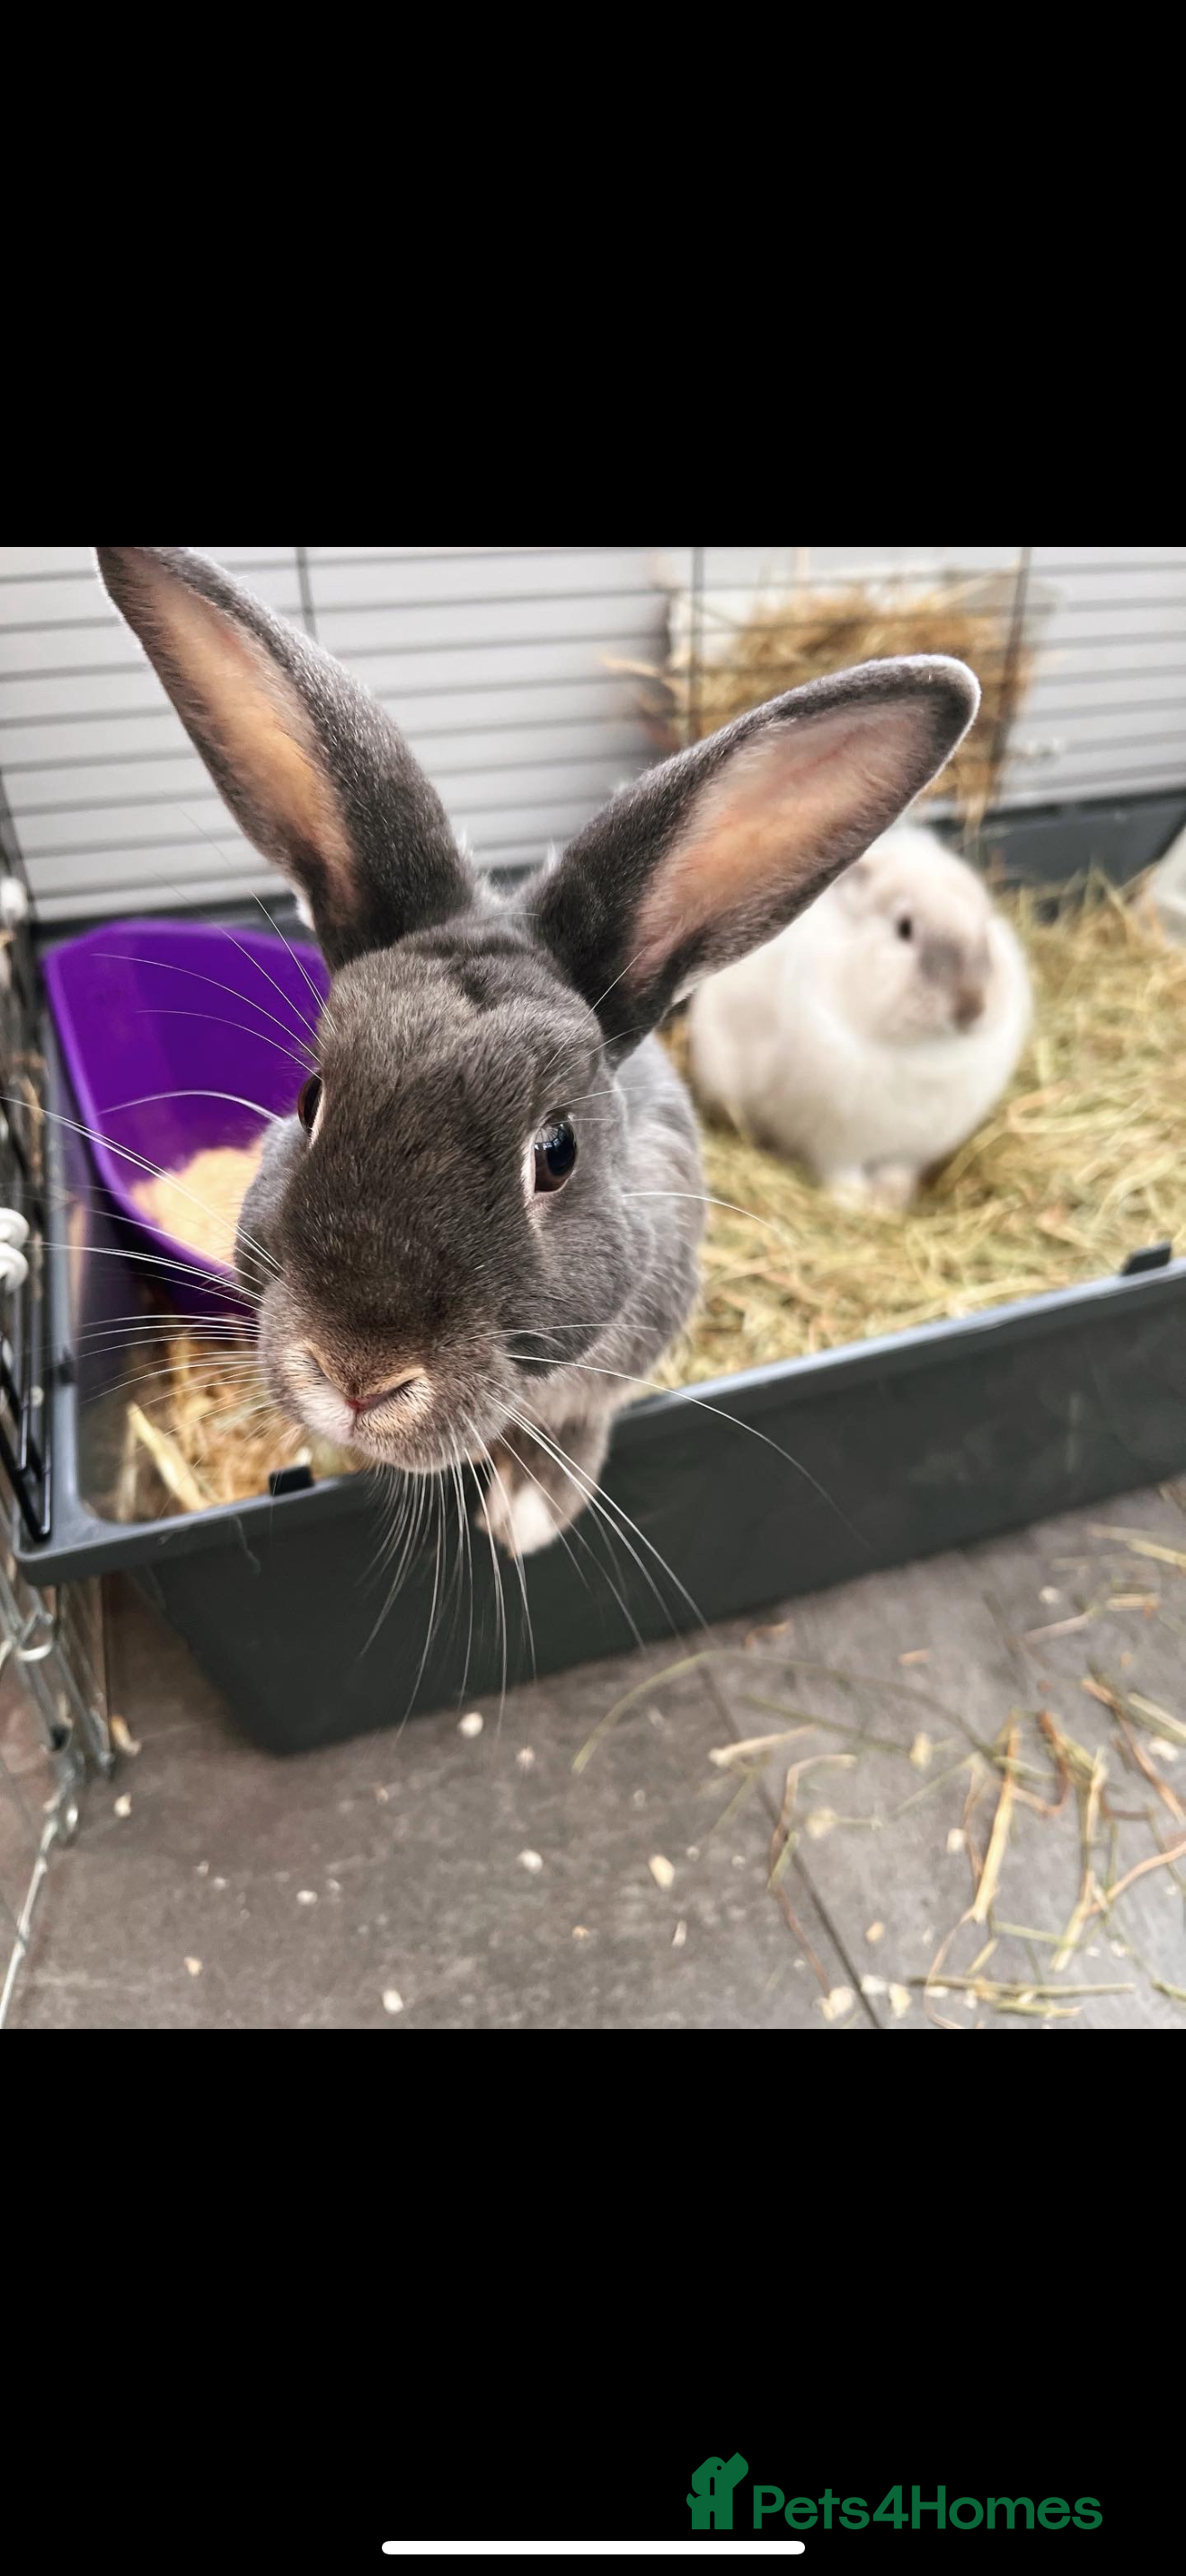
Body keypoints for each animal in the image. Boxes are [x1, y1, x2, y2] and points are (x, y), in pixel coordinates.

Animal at [688, 821, 1031, 1208]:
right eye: (904, 929)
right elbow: (841, 1171)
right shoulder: (835, 1140)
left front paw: (891, 1200)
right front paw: (853, 1203)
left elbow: (898, 1169)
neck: (921, 1049)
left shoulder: (910, 1148)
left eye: (985, 926)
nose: (971, 1008)